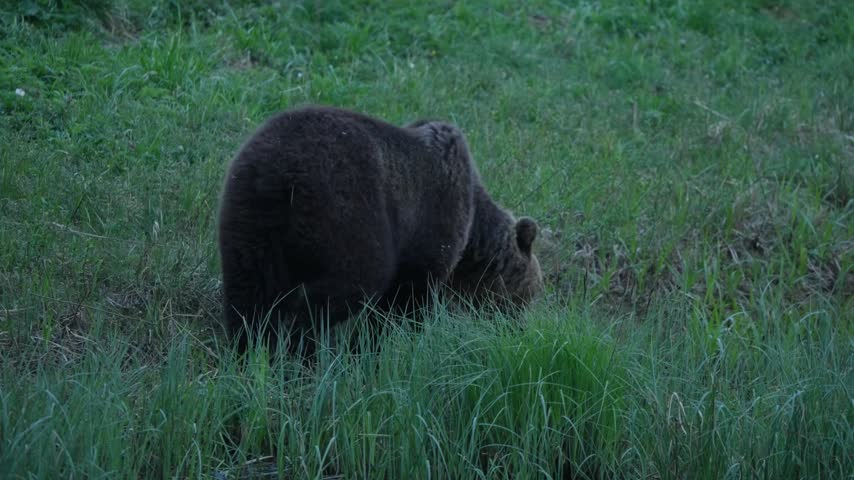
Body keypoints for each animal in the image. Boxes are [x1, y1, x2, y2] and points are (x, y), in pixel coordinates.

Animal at [217, 105, 543, 355]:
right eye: (531, 292)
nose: (520, 327)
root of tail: (281, 174)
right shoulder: (432, 221)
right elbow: (405, 298)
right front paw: (380, 343)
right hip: (346, 208)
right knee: (351, 280)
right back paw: (303, 347)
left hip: (248, 215)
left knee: (249, 290)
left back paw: (251, 349)